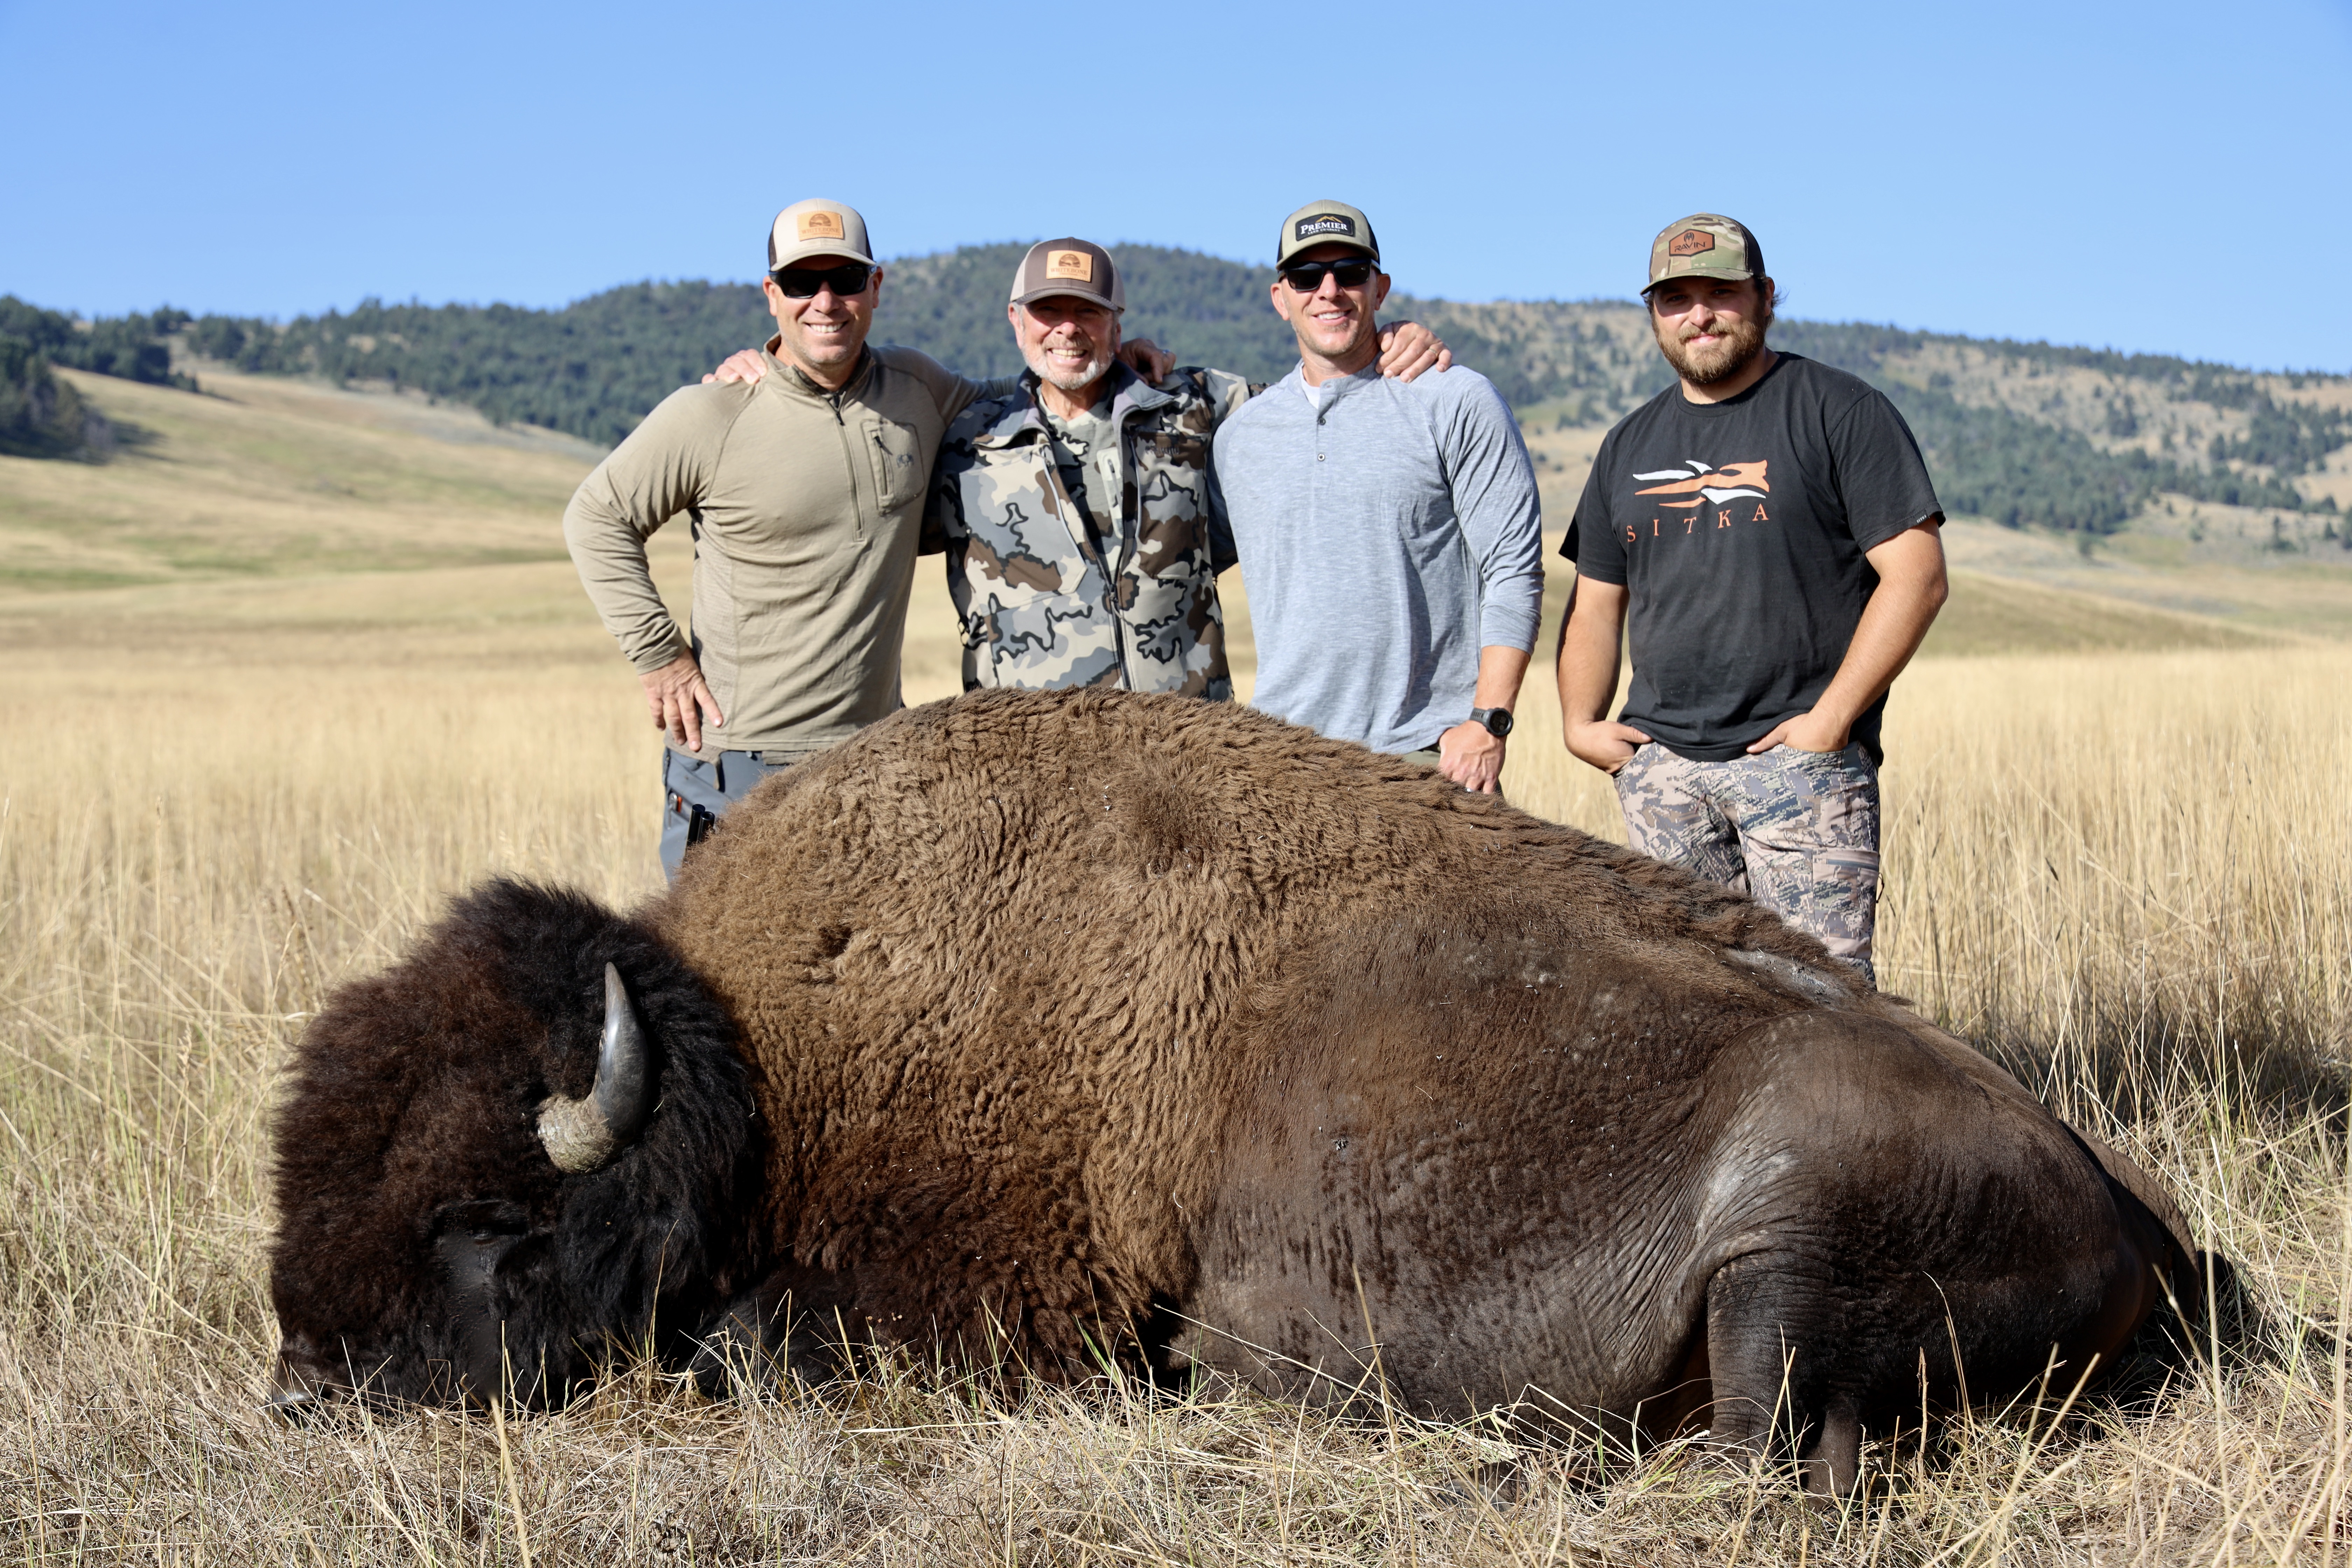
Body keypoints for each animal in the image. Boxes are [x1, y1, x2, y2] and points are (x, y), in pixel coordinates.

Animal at [270, 690, 2197, 1491]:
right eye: (305, 1174)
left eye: (500, 1235)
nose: (307, 1393)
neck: (767, 1059)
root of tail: (2131, 1209)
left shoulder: (1004, 1298)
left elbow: (743, 1346)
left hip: (1785, 1242)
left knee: (1771, 1448)